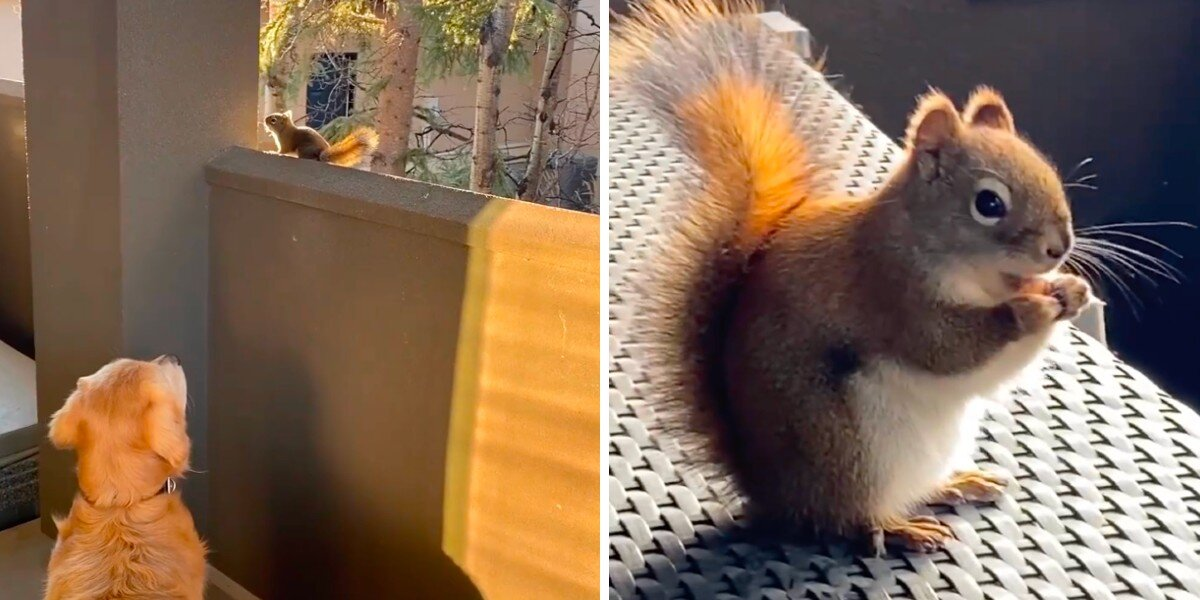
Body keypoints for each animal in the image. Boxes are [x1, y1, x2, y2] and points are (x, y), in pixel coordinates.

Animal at [615, 0, 1093, 554]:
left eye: (1048, 172)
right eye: (989, 203)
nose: (1060, 248)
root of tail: (773, 496)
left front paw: (1072, 291)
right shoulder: (891, 294)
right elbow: (949, 349)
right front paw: (1030, 310)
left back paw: (954, 484)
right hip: (848, 448)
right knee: (847, 520)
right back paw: (899, 527)